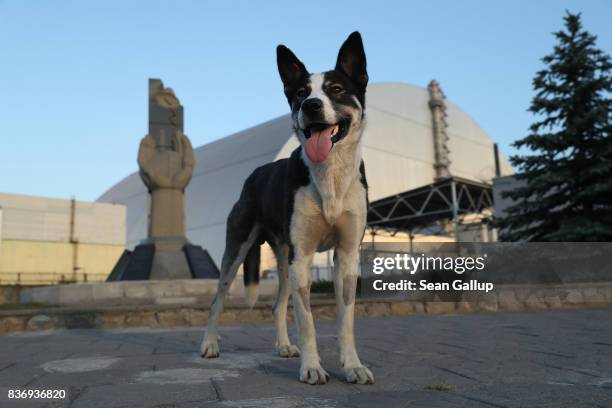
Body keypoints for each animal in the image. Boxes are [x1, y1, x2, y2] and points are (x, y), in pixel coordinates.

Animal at [201, 32, 372, 386]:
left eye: (336, 89)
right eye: (301, 93)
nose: (311, 105)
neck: (330, 175)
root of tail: (254, 174)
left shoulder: (347, 254)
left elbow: (346, 318)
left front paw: (352, 365)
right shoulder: (302, 256)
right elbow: (307, 321)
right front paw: (312, 367)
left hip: (283, 262)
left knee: (278, 304)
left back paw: (282, 345)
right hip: (239, 250)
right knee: (217, 298)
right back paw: (209, 344)